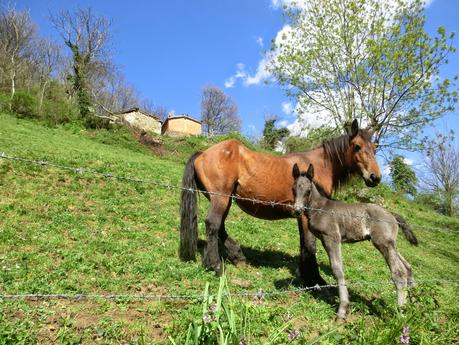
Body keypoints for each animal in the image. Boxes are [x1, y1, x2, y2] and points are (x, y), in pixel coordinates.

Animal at [178, 118, 382, 284]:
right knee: (213, 224)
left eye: (374, 148)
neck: (316, 168)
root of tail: (202, 153)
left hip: (226, 200)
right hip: (220, 198)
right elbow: (310, 245)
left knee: (219, 227)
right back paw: (215, 266)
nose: (375, 177)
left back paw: (236, 257)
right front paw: (315, 279)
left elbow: (304, 244)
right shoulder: (306, 216)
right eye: (357, 146)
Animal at [292, 163, 418, 318]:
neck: (320, 208)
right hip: (391, 245)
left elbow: (337, 270)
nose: (297, 211)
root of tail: (392, 215)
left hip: (383, 244)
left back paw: (400, 313)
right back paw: (414, 303)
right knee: (408, 268)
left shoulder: (332, 238)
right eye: (293, 188)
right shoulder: (324, 239)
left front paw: (342, 310)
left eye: (308, 190)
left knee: (399, 273)